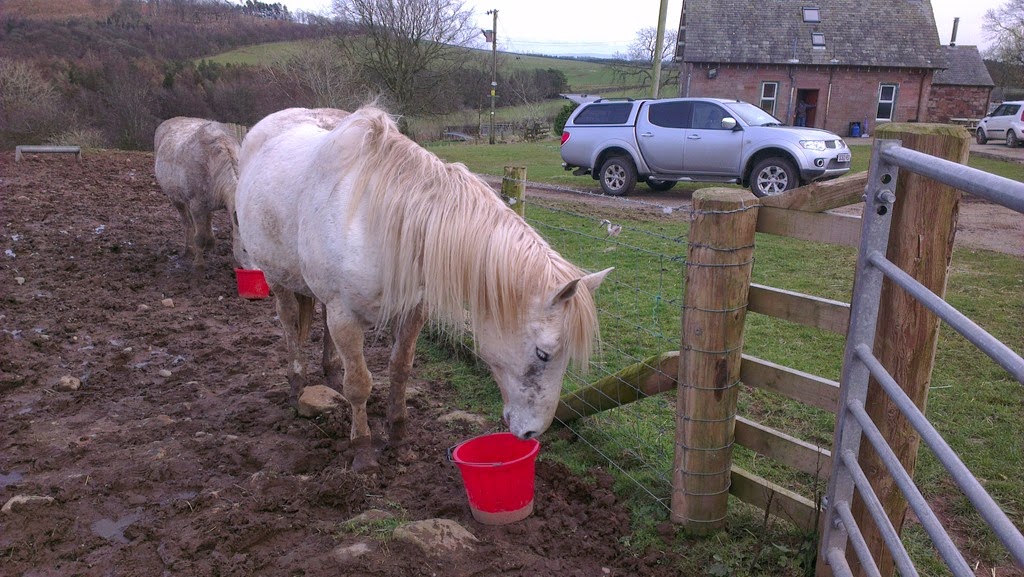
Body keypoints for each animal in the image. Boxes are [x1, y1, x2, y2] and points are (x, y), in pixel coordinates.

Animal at [154, 117, 246, 273]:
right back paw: (189, 250)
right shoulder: (197, 206)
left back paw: (210, 244)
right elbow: (200, 237)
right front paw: (199, 264)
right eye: (245, 250)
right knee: (187, 223)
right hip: (177, 199)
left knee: (207, 218)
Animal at [235, 105, 612, 472]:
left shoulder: (413, 309)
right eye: (543, 354)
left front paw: (399, 439)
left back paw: (329, 372)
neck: (375, 219)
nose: (532, 432)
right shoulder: (345, 316)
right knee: (289, 325)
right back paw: (297, 386)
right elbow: (358, 384)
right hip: (278, 278)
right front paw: (363, 452)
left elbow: (400, 370)